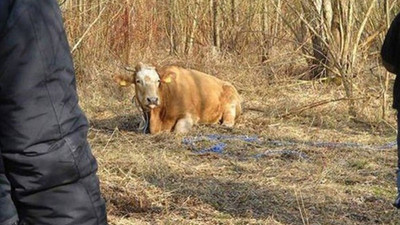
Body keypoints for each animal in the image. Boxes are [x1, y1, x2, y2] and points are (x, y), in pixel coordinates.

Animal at [114, 62, 242, 134]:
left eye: (158, 80)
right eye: (138, 81)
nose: (153, 99)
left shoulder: (190, 115)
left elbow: (178, 130)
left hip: (231, 104)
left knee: (229, 119)